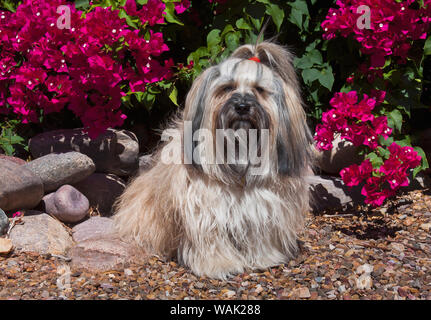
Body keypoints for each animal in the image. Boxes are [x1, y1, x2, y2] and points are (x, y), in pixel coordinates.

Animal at [115, 41, 314, 278]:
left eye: (259, 90)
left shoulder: (264, 208)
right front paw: (219, 264)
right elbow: (212, 239)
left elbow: (260, 234)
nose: (242, 106)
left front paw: (266, 258)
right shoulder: (205, 210)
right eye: (228, 87)